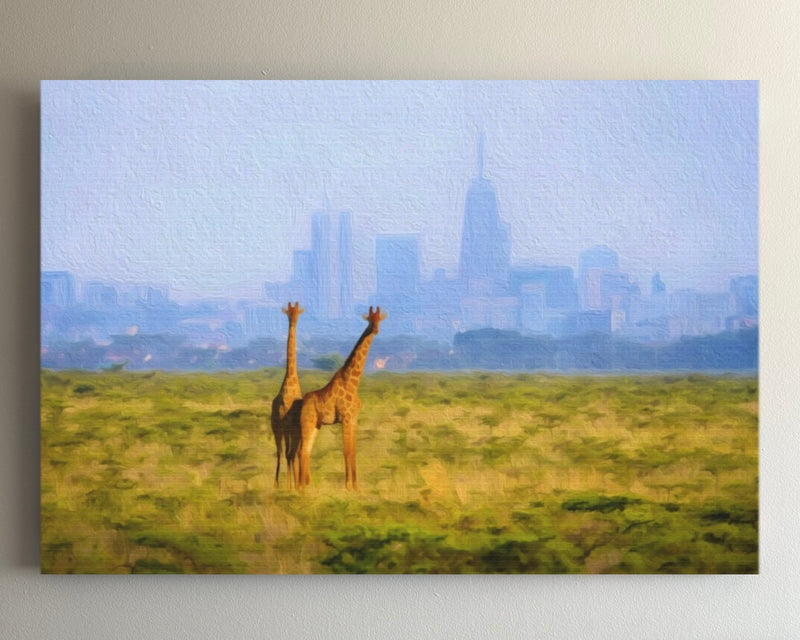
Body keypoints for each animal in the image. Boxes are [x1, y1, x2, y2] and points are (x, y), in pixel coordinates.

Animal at [297, 305, 387, 490]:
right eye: (369, 320)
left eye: (379, 319)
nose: (375, 330)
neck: (352, 382)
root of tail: (302, 401)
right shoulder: (345, 418)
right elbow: (346, 451)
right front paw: (348, 486)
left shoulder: (353, 419)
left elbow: (353, 451)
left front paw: (356, 486)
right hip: (307, 422)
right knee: (302, 451)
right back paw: (301, 487)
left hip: (316, 425)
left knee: (307, 450)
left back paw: (307, 486)